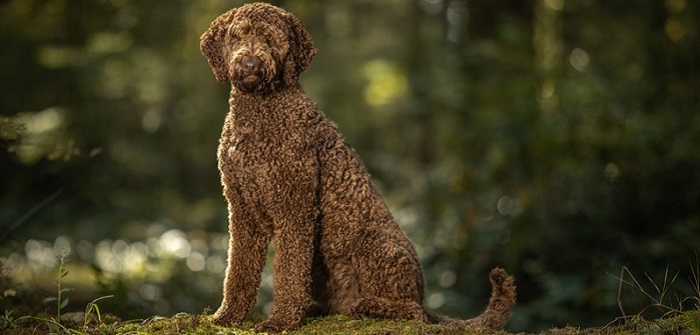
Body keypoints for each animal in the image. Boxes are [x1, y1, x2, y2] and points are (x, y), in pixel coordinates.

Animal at [200, 2, 516, 334]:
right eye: (238, 35)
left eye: (271, 38)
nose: (250, 63)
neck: (258, 113)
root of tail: (423, 297)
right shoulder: (242, 210)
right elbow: (238, 271)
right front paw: (226, 317)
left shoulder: (295, 208)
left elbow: (288, 272)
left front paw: (280, 320)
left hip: (372, 246)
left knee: (411, 311)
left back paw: (367, 306)